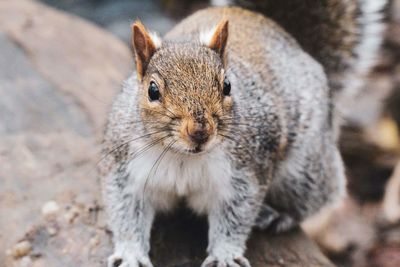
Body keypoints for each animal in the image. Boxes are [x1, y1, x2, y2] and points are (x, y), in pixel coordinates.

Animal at [101, 1, 388, 266]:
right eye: (152, 91)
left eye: (228, 85)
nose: (200, 131)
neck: (183, 157)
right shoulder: (127, 172)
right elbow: (127, 215)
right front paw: (130, 255)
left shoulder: (245, 174)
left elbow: (235, 217)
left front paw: (225, 255)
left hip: (301, 171)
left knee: (318, 196)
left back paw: (279, 215)